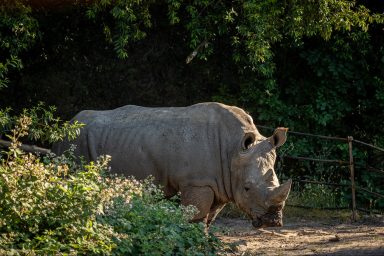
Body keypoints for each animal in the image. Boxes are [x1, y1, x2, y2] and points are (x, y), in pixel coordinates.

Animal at [51, 103, 292, 227]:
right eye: (247, 188)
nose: (273, 221)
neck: (233, 150)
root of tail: (68, 123)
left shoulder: (221, 183)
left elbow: (207, 219)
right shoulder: (197, 182)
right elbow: (195, 217)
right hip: (73, 140)